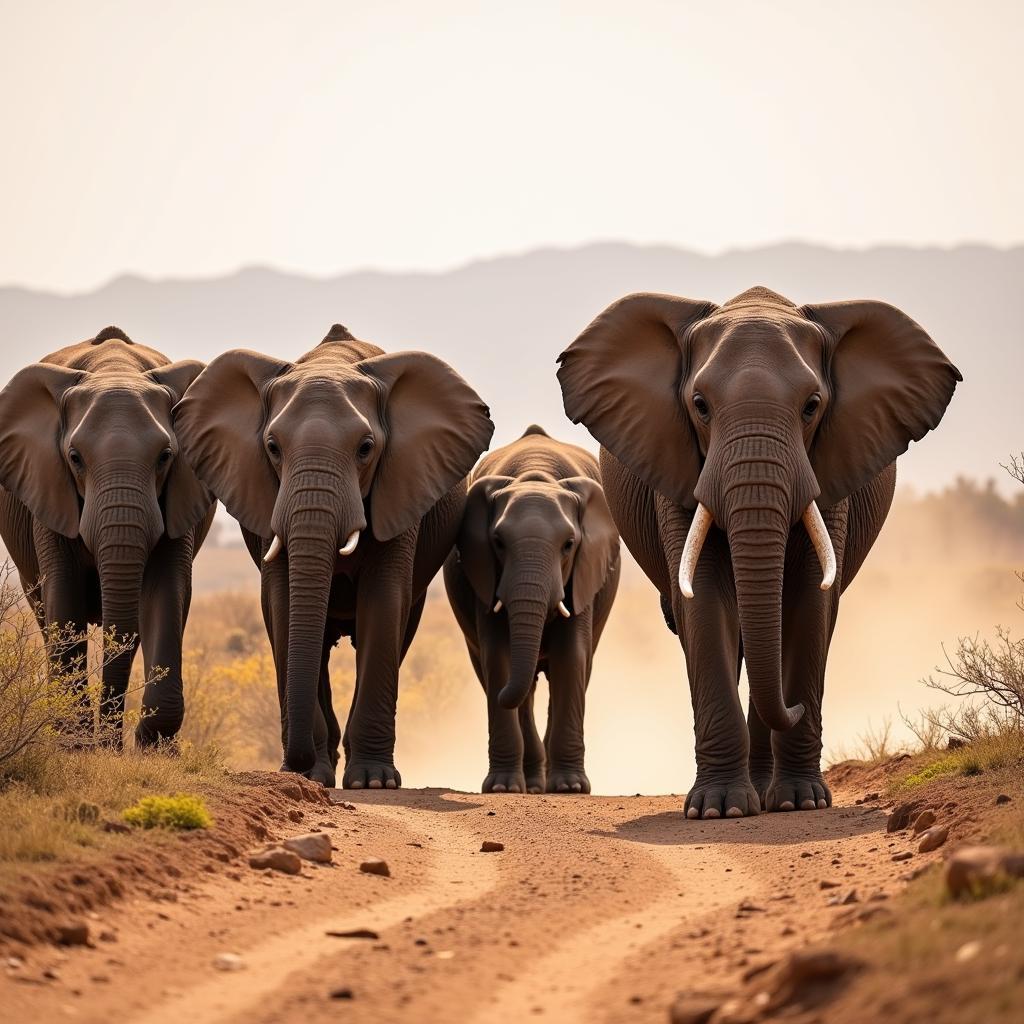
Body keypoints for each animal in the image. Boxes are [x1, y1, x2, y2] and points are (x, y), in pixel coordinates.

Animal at [0, 327, 214, 745]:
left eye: (165, 456)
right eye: (75, 458)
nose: (110, 745)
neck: (115, 370)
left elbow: (166, 591)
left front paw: (153, 748)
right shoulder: (48, 490)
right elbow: (63, 593)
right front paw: (76, 746)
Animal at [174, 323, 493, 786]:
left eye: (365, 448)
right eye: (272, 447)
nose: (297, 763)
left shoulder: (401, 486)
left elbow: (383, 601)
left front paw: (373, 781)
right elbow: (283, 605)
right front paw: (311, 776)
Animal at [444, 423, 618, 790]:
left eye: (569, 544)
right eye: (498, 542)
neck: (536, 475)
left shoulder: (583, 573)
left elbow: (571, 656)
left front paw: (570, 788)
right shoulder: (484, 572)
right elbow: (498, 657)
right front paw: (502, 788)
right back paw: (533, 781)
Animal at [557, 286, 954, 815]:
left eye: (812, 406)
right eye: (700, 405)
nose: (796, 705)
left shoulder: (829, 471)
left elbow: (810, 601)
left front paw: (802, 803)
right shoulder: (678, 467)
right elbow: (703, 601)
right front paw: (717, 810)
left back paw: (771, 795)